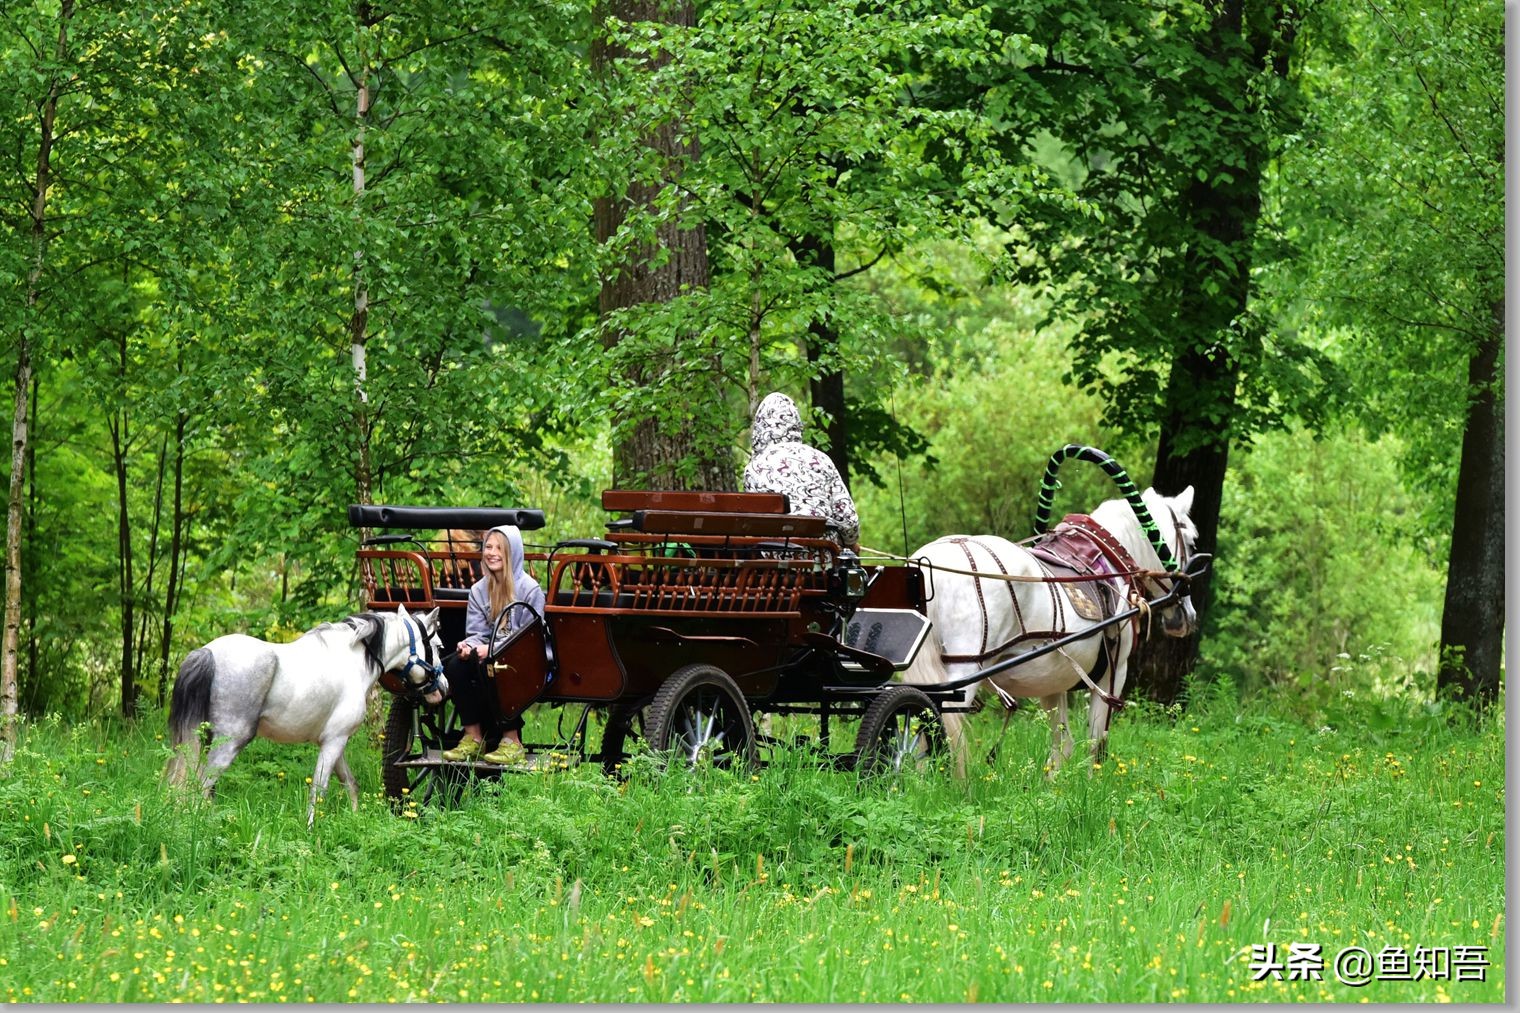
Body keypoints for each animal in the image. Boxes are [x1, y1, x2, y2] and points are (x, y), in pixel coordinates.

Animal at [164, 602, 443, 827]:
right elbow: (318, 790)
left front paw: (355, 820)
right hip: (229, 743)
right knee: (201, 786)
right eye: (438, 645)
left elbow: (350, 783)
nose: (443, 687)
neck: (353, 663)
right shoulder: (334, 742)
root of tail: (207, 653)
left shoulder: (334, 742)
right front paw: (311, 831)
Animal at [899, 486, 1197, 775]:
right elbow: (1096, 744)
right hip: (965, 669)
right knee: (940, 729)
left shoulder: (1053, 682)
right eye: (1192, 542)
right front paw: (1094, 784)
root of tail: (927, 563)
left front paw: (1053, 787)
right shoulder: (1114, 672)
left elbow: (1061, 745)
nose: (1188, 616)